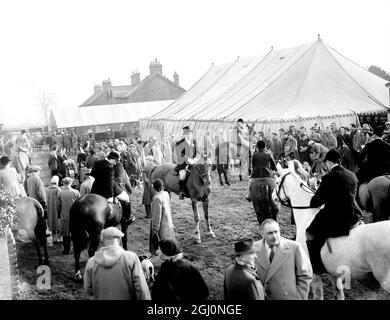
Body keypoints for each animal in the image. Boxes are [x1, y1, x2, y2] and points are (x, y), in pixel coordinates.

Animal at [276, 162, 390, 300]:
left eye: (277, 182)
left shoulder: (314, 274)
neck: (307, 214)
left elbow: (318, 295)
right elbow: (338, 292)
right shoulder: (334, 271)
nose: (274, 199)